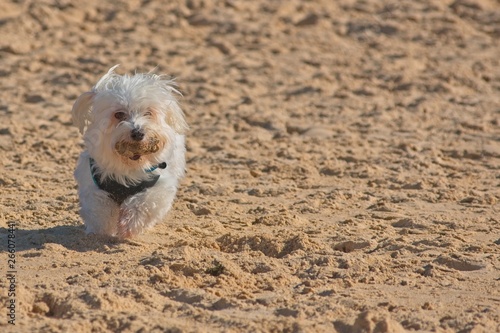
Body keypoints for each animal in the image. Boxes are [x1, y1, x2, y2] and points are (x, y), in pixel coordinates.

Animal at [71, 65, 187, 237]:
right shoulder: (92, 182)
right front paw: (101, 229)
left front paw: (129, 225)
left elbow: (144, 203)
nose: (138, 133)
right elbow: (98, 207)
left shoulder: (159, 185)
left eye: (148, 113)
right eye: (119, 114)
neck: (129, 165)